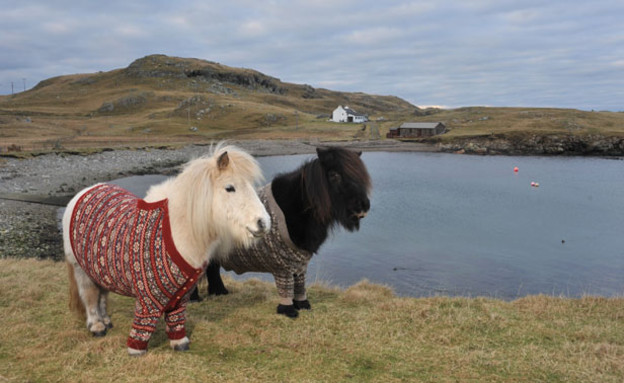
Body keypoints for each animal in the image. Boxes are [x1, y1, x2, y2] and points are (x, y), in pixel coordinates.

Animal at [62, 145, 270, 356]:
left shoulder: (181, 296)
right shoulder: (147, 298)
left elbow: (176, 319)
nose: (263, 223)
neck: (176, 231)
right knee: (89, 296)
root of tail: (83, 193)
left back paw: (106, 321)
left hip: (100, 270)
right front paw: (136, 350)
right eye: (230, 188)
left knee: (102, 295)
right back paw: (97, 326)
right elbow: (143, 323)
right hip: (81, 270)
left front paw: (180, 343)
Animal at [191, 147, 370, 318]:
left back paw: (220, 292)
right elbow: (286, 287)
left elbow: (299, 285)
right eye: (334, 174)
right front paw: (288, 310)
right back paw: (195, 299)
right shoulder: (283, 266)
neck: (297, 207)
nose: (363, 206)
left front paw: (303, 304)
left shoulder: (299, 263)